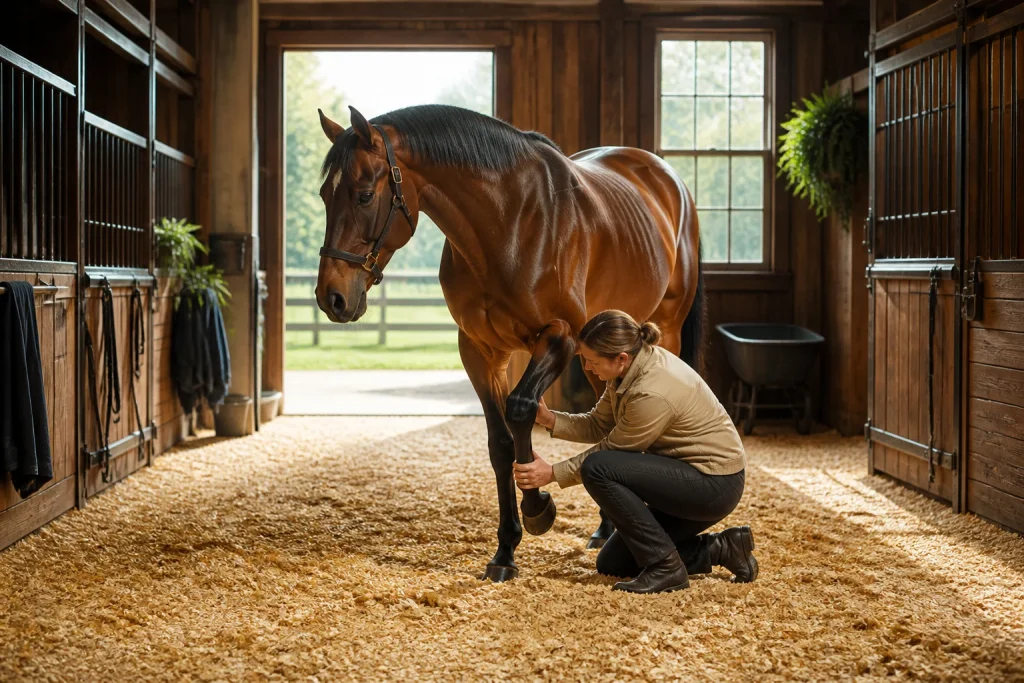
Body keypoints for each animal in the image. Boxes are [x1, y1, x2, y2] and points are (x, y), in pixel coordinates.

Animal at [314, 104, 704, 582]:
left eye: (365, 195)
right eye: (325, 195)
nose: (331, 297)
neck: (508, 222)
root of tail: (664, 177)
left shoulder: (560, 335)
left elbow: (520, 408)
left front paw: (538, 507)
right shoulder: (479, 351)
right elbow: (499, 442)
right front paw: (505, 550)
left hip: (664, 329)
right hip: (601, 357)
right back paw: (603, 530)